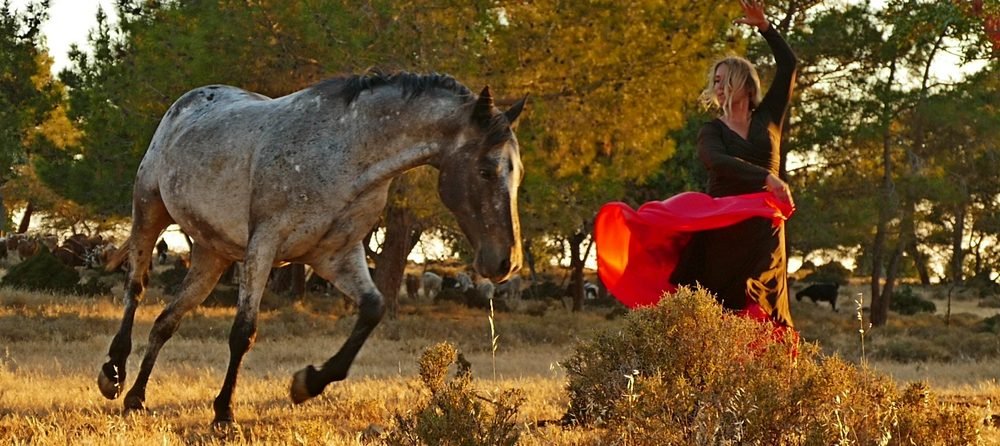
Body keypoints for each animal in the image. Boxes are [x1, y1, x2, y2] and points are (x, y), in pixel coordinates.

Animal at [97, 71, 526, 428]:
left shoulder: (336, 255)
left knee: (166, 320)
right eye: (486, 170)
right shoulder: (264, 244)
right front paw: (223, 412)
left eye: (517, 173)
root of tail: (184, 104)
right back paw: (113, 373)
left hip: (210, 255)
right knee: (135, 289)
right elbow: (243, 333)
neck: (345, 154)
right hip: (149, 209)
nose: (506, 262)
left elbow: (373, 309)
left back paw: (136, 398)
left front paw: (306, 383)